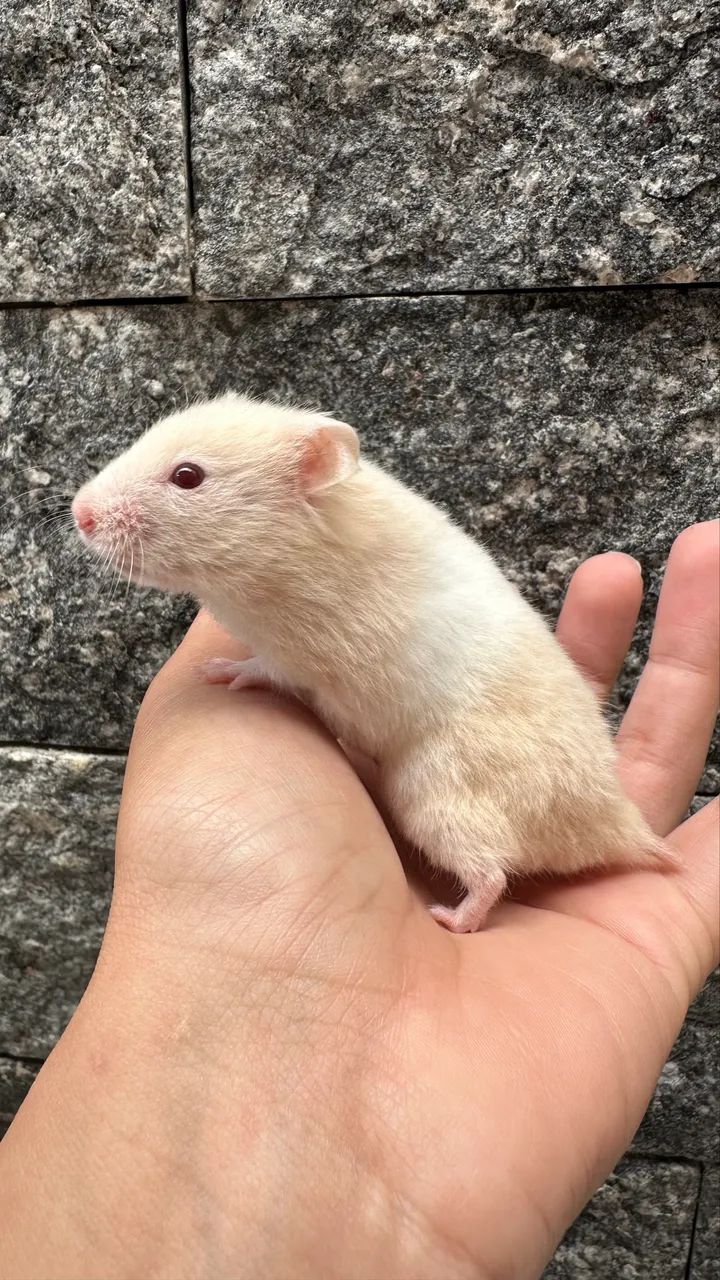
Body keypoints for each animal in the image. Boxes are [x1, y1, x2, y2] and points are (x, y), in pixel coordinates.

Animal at [71, 393, 673, 932]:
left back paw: (452, 919)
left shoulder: (307, 656)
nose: (79, 514)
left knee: (491, 874)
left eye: (188, 476)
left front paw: (218, 671)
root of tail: (619, 827)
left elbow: (264, 668)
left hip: (438, 796)